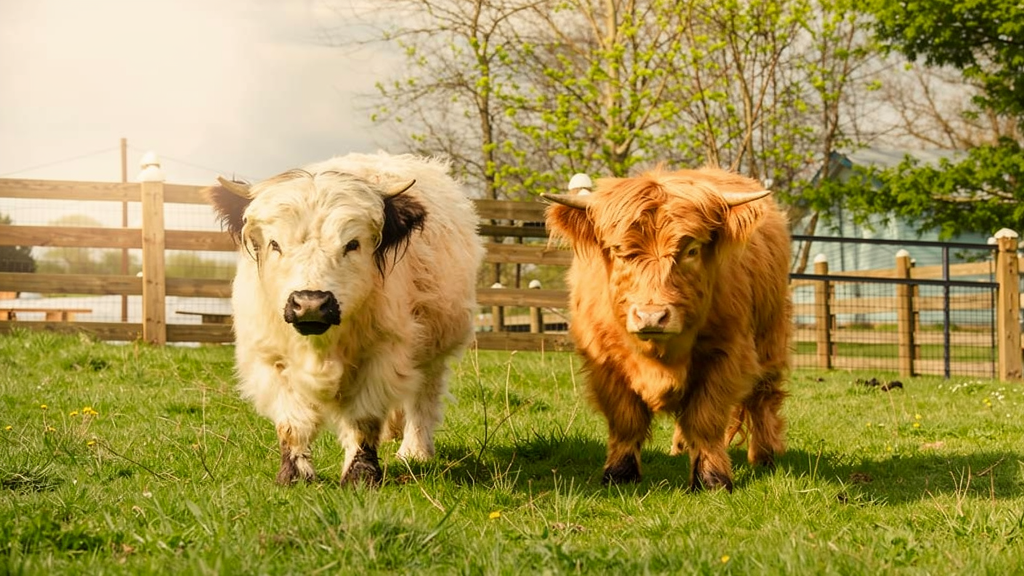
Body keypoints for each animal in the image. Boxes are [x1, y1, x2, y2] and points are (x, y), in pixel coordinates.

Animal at [205, 152, 485, 487]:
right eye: (275, 244)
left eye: (352, 244)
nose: (310, 303)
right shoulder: (270, 361)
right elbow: (292, 423)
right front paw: (293, 475)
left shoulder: (381, 355)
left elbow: (363, 419)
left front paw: (361, 475)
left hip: (434, 350)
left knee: (423, 398)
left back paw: (415, 450)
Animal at [543, 166, 791, 492]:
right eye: (619, 251)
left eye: (692, 250)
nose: (652, 316)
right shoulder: (605, 361)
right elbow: (626, 419)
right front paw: (620, 473)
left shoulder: (725, 354)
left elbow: (705, 418)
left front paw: (713, 478)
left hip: (770, 338)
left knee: (762, 398)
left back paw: (764, 455)